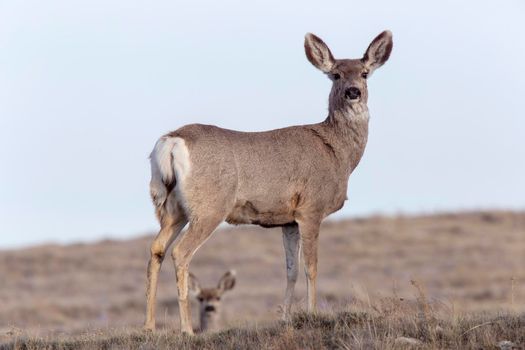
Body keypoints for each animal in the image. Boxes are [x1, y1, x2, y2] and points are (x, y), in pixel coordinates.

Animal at [144, 30, 392, 334]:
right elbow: (311, 266)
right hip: (210, 206)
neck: (338, 152)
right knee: (180, 253)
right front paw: (311, 314)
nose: (353, 91)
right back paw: (187, 329)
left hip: (170, 206)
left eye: (365, 73)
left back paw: (149, 326)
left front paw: (285, 318)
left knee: (156, 249)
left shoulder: (288, 218)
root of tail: (172, 141)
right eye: (335, 75)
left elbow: (291, 270)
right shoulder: (311, 208)